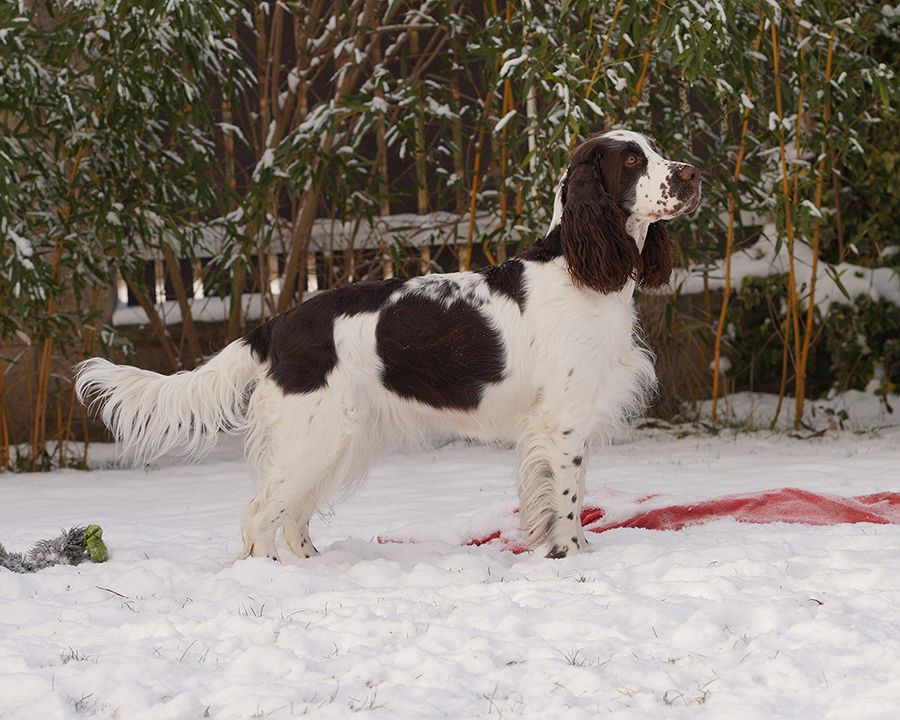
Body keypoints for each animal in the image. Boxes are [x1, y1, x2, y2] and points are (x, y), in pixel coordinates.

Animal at [74, 128, 700, 556]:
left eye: (654, 148)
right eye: (631, 159)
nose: (693, 174)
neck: (580, 269)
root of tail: (278, 324)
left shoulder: (572, 422)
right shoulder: (562, 422)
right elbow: (566, 501)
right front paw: (570, 557)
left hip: (332, 441)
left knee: (293, 518)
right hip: (313, 437)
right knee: (259, 516)